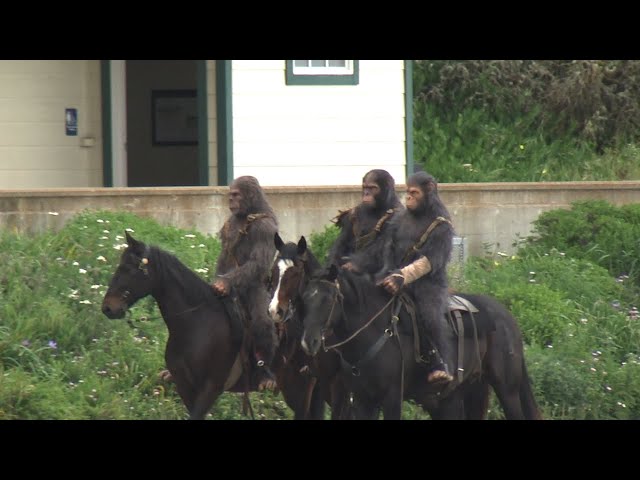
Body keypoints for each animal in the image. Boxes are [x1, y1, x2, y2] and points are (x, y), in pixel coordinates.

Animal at [298, 266, 540, 420]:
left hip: (507, 390)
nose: (309, 341)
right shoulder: (362, 401)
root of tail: (507, 317)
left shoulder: (392, 398)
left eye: (329, 299)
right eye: (304, 299)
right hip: (457, 394)